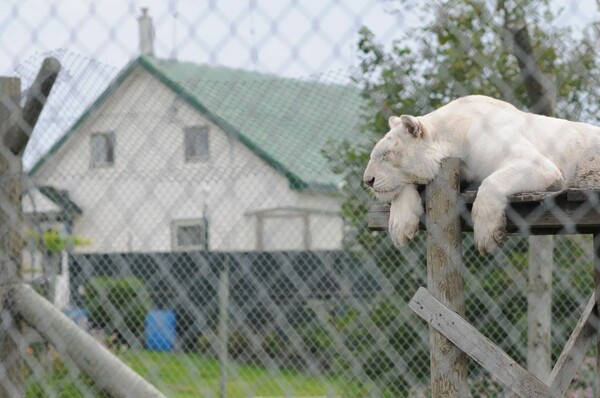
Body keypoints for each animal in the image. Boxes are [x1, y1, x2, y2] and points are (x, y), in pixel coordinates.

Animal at [360, 95, 600, 253]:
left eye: (386, 154)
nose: (368, 180)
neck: (454, 133)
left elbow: (502, 177)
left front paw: (487, 237)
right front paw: (400, 228)